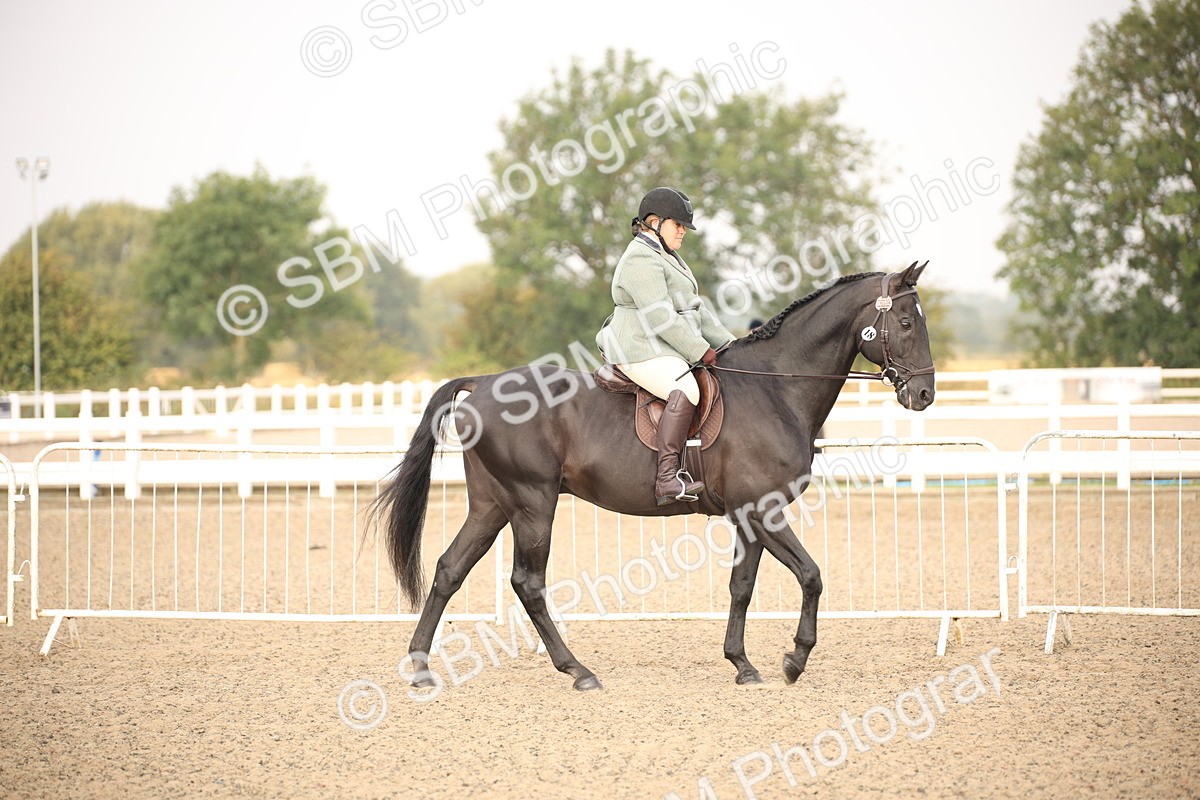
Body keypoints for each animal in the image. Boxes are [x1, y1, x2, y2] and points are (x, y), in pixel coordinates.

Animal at [372, 261, 935, 690]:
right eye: (908, 323)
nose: (924, 394)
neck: (775, 389)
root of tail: (485, 383)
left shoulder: (749, 517)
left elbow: (742, 585)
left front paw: (742, 664)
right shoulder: (765, 510)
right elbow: (812, 575)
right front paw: (794, 660)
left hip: (492, 505)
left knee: (449, 570)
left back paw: (421, 667)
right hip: (533, 503)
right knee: (528, 583)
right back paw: (578, 671)